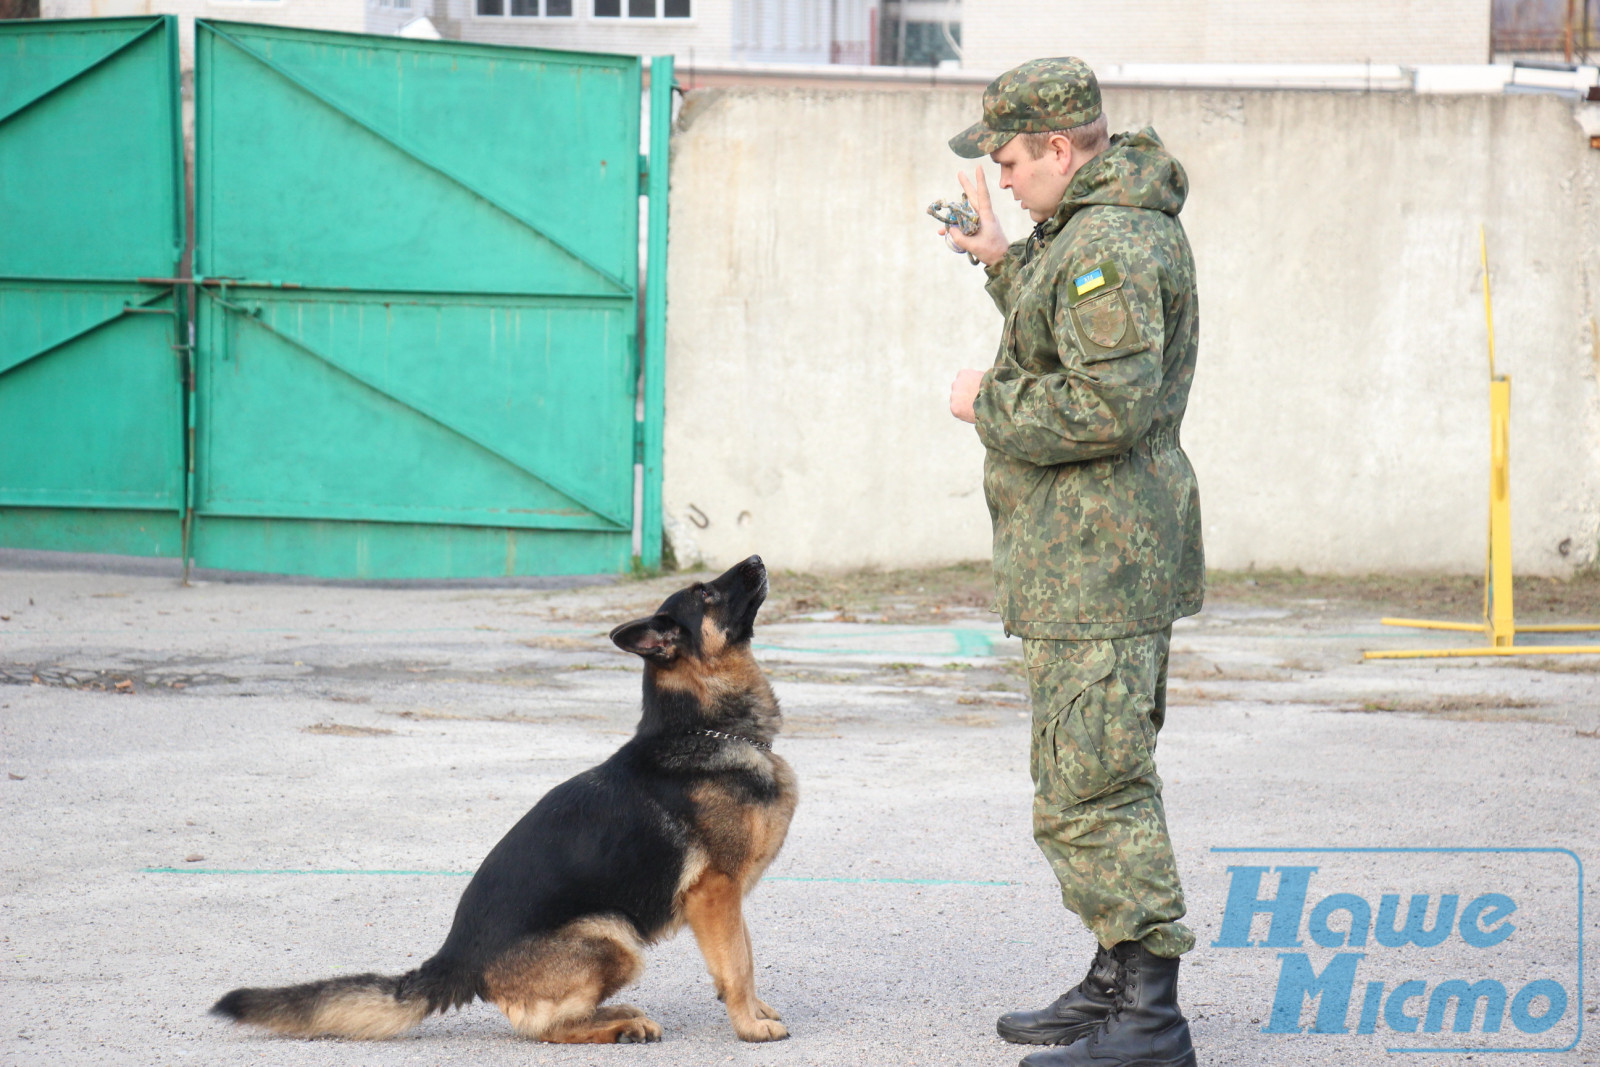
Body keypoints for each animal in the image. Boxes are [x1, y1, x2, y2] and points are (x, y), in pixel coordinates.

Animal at [209, 556, 796, 1049]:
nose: (757, 559)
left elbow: (746, 952)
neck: (702, 727)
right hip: (614, 934)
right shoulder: (715, 892)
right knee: (543, 1028)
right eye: (706, 592)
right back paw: (622, 1024)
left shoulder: (729, 896)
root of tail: (456, 956)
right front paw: (749, 1026)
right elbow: (736, 964)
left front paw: (758, 1010)